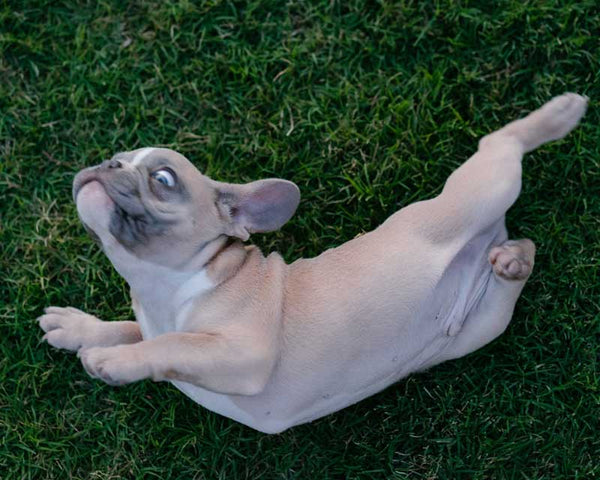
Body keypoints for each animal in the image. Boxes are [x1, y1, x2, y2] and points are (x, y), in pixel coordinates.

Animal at [37, 93, 584, 432]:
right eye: (117, 156)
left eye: (163, 179)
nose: (107, 164)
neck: (163, 288)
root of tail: (494, 234)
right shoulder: (158, 324)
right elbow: (129, 330)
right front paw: (78, 328)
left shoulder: (244, 351)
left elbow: (171, 344)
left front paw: (116, 362)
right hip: (481, 325)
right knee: (522, 259)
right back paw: (511, 261)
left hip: (480, 192)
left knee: (502, 144)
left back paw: (560, 114)